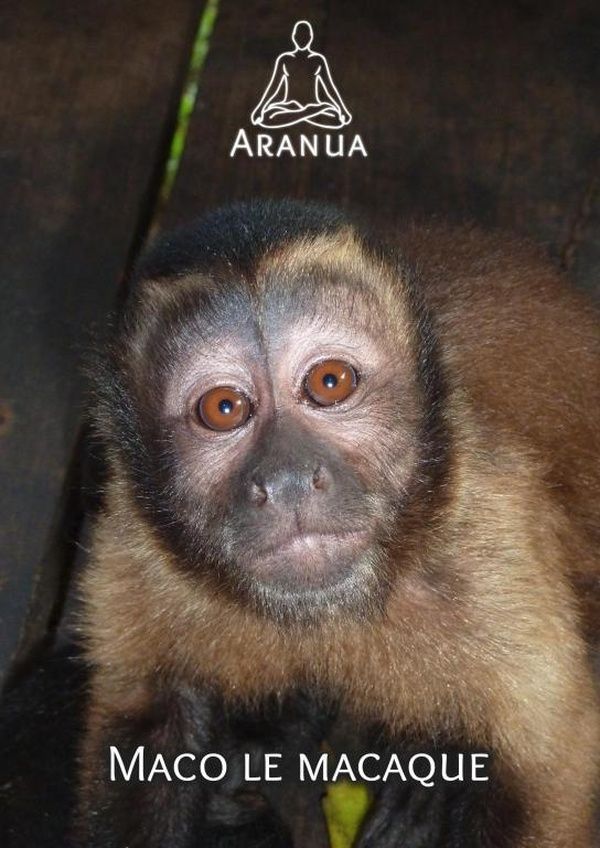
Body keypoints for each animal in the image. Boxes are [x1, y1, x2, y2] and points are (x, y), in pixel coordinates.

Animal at [75, 198, 600, 847]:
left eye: (330, 382)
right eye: (223, 408)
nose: (289, 478)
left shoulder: (487, 545)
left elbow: (547, 773)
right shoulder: (139, 545)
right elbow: (147, 725)